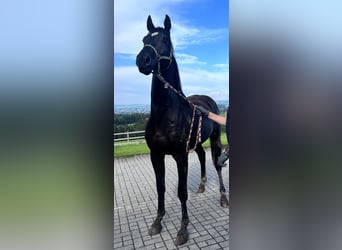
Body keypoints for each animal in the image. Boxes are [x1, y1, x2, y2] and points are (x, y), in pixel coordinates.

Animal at [136, 14, 227, 246]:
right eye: (144, 39)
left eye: (165, 39)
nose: (143, 60)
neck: (166, 114)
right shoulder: (156, 155)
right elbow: (160, 188)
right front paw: (157, 222)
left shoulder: (180, 155)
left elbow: (182, 192)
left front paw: (183, 230)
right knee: (202, 156)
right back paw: (202, 185)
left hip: (215, 139)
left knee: (216, 163)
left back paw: (223, 197)